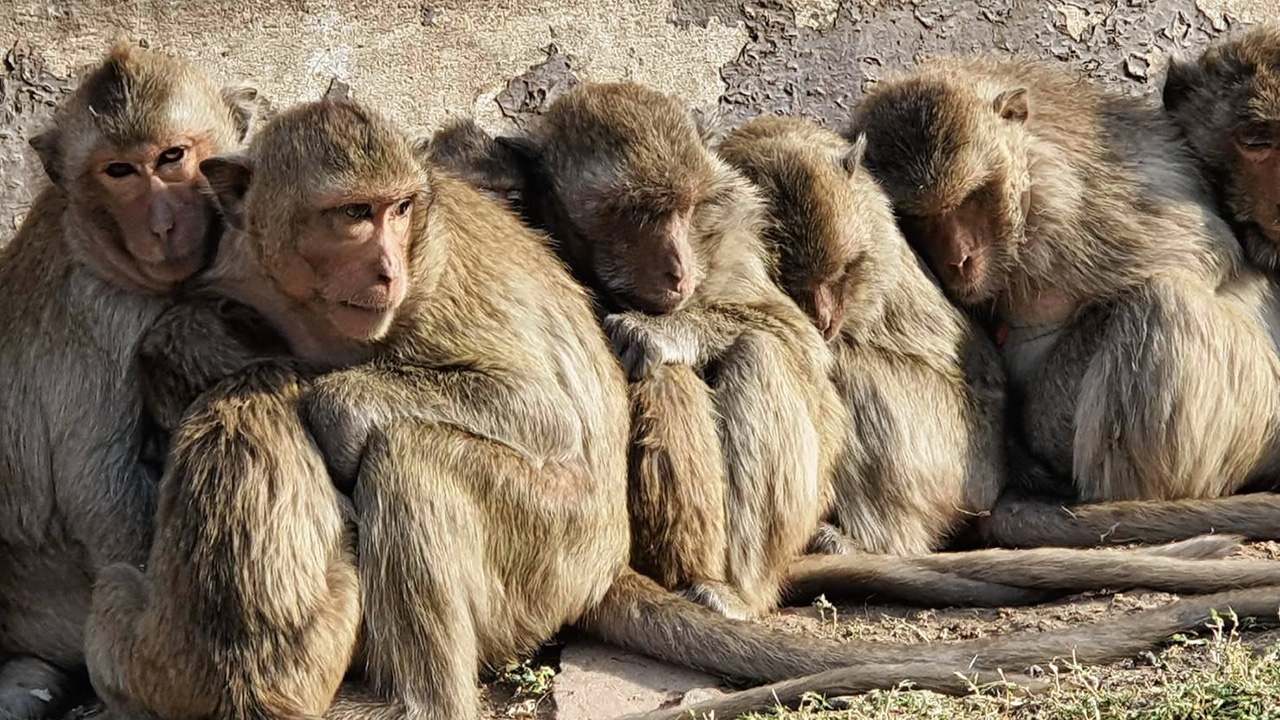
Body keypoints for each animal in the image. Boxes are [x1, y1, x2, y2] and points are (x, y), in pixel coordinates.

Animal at [834, 57, 1280, 548]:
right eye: (919, 218)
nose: (958, 259)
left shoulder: (1073, 205)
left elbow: (1200, 257)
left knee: (1164, 301)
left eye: (970, 198)